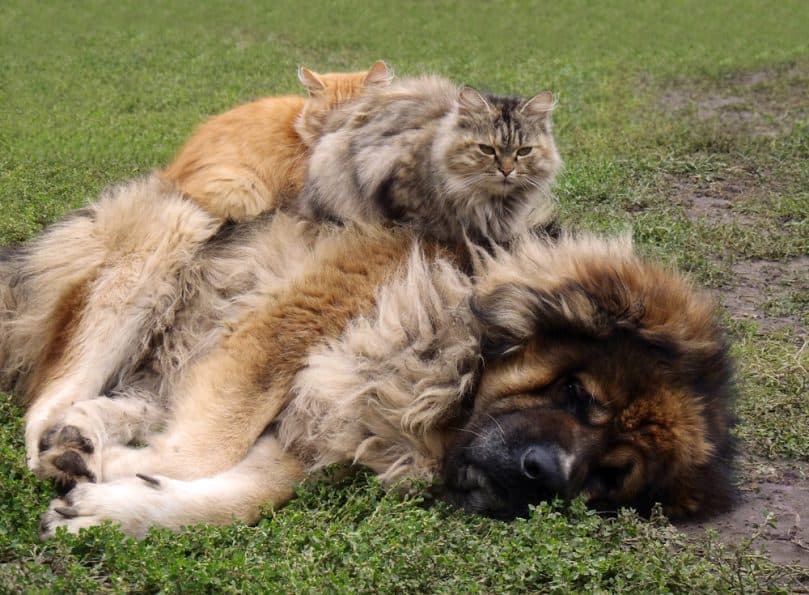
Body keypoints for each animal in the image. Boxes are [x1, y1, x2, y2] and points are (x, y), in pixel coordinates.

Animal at [0, 178, 732, 540]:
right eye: (577, 393)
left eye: (608, 476)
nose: (543, 476)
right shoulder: (291, 323)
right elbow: (211, 441)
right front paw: (117, 471)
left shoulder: (324, 415)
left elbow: (249, 492)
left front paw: (114, 503)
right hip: (169, 236)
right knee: (44, 401)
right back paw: (66, 439)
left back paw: (89, 434)